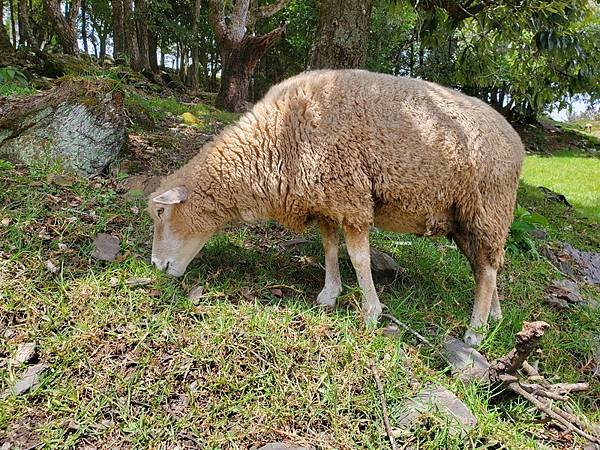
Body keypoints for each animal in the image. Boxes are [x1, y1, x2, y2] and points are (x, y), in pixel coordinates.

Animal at [150, 69, 524, 344]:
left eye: (161, 212)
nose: (155, 265)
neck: (278, 139)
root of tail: (516, 139)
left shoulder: (351, 197)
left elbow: (359, 259)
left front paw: (372, 312)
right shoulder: (326, 201)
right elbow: (329, 249)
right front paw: (329, 294)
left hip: (490, 207)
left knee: (487, 267)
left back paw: (475, 332)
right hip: (464, 218)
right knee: (485, 266)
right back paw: (494, 316)